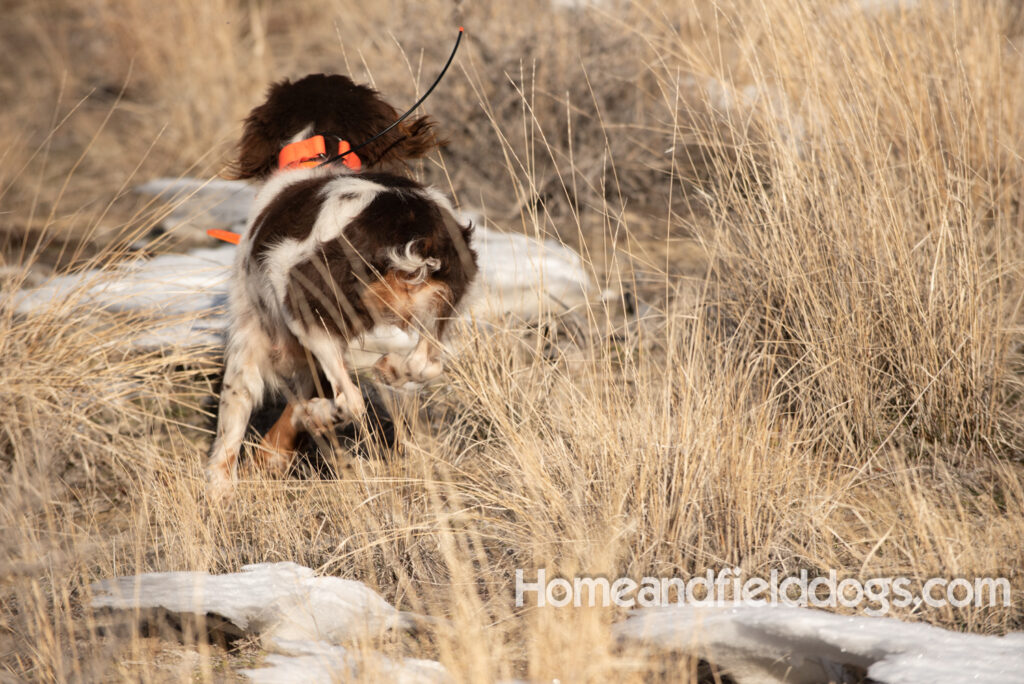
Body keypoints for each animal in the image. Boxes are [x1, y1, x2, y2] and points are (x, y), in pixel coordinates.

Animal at [209, 73, 481, 497]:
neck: (321, 154)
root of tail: (408, 228)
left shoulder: (251, 334)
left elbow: (232, 419)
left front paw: (219, 490)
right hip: (439, 308)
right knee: (424, 365)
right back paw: (388, 373)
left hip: (305, 302)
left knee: (350, 399)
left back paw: (318, 414)